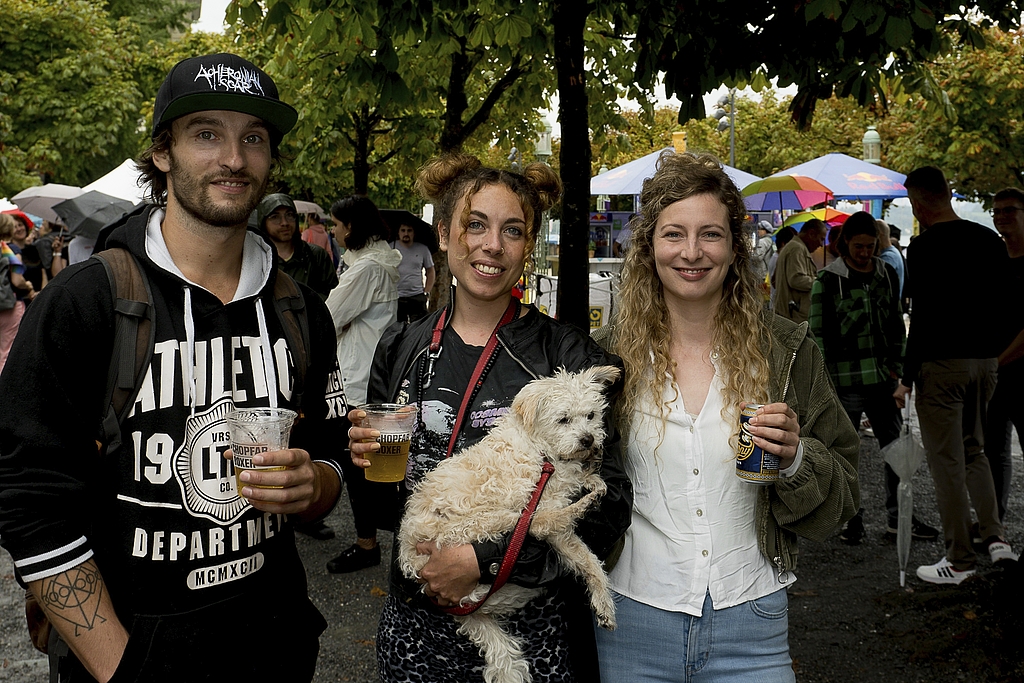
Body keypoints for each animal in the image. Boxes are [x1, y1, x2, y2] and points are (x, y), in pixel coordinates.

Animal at [397, 366, 618, 683]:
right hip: (486, 521)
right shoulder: (547, 499)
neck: (542, 449)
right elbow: (576, 547)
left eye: (591, 415)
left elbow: (588, 560)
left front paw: (603, 605)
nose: (588, 440)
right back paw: (581, 505)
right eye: (563, 419)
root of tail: (409, 560)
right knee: (537, 524)